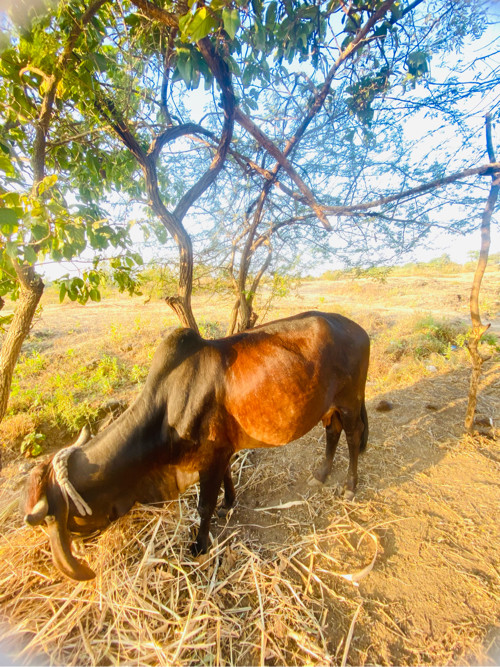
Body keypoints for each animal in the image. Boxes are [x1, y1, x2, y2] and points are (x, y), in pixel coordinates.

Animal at [23, 312, 370, 580]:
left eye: (63, 520)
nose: (79, 549)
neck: (166, 411)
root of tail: (357, 328)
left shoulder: (210, 458)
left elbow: (204, 506)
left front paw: (199, 545)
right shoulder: (220, 453)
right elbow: (226, 482)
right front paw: (229, 502)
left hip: (350, 402)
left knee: (353, 437)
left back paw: (350, 486)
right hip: (329, 407)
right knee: (332, 433)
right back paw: (321, 474)